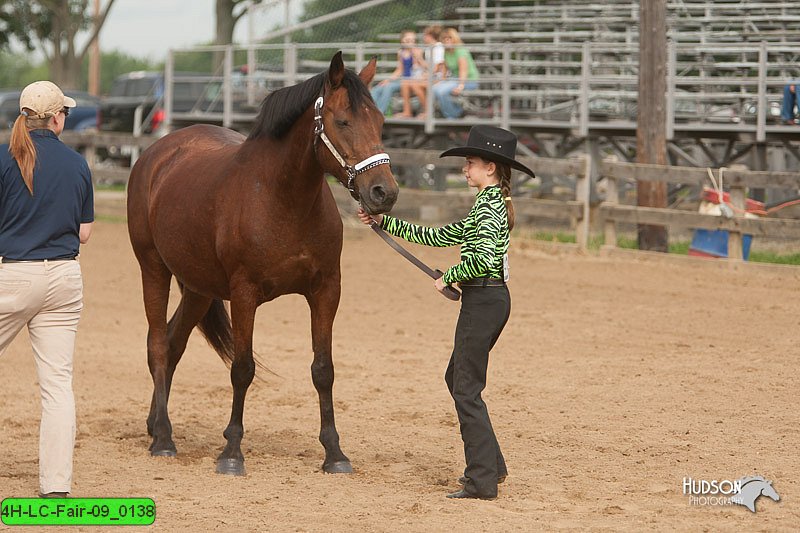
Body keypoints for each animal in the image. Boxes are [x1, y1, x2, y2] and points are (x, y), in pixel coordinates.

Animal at [128, 52, 400, 474]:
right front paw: (231, 453)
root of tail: (156, 154)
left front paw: (335, 454)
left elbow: (323, 370)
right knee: (157, 344)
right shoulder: (244, 294)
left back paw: (156, 424)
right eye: (342, 121)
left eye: (381, 121)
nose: (383, 193)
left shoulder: (326, 290)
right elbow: (242, 370)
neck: (281, 197)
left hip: (198, 289)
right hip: (153, 267)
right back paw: (164, 440)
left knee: (173, 344)